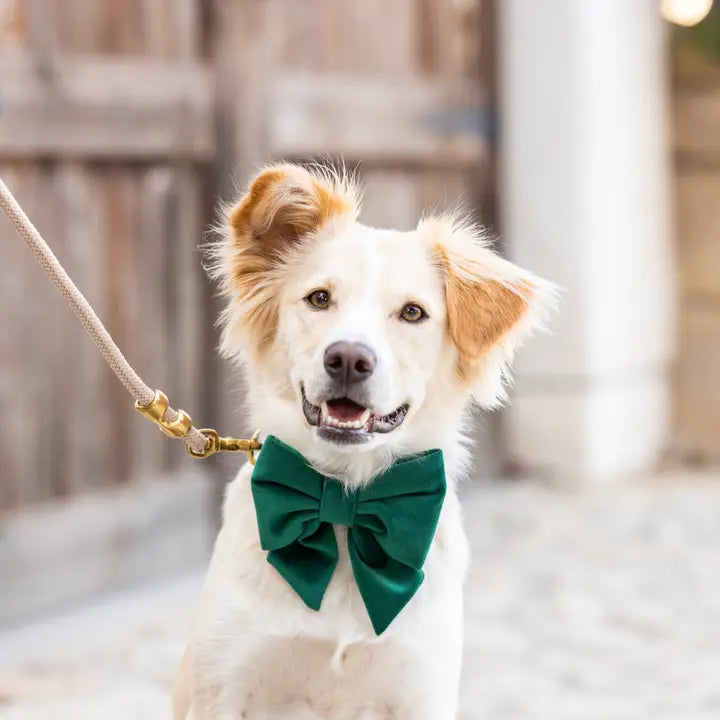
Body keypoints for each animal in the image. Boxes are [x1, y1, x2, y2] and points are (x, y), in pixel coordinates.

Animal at [174, 165, 556, 720]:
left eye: (413, 313)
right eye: (319, 298)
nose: (349, 359)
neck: (344, 507)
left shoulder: (422, 693)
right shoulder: (223, 691)